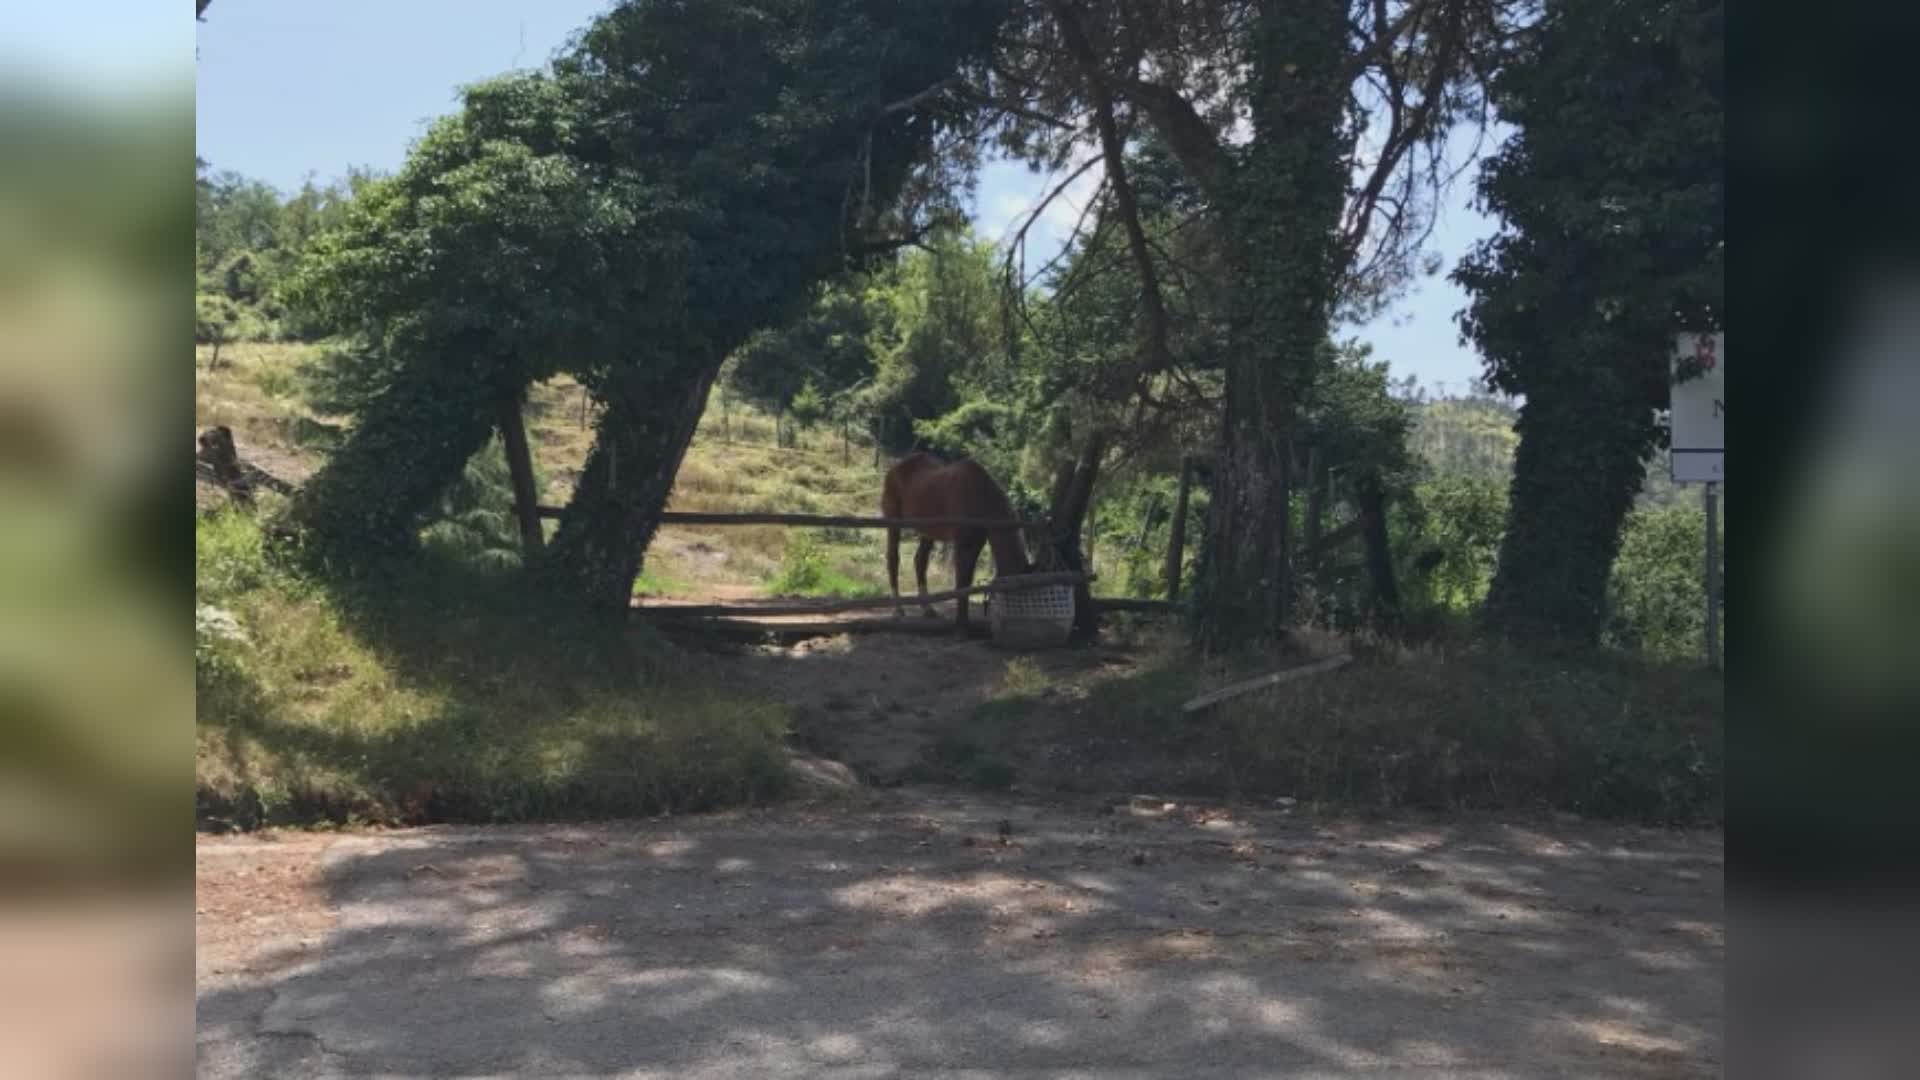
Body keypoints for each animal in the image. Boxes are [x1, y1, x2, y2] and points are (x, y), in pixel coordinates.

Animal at [881, 453, 1032, 633]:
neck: (980, 493)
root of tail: (895, 468)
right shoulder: (962, 544)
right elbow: (961, 582)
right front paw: (961, 624)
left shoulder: (976, 543)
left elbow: (966, 581)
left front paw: (963, 622)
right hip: (893, 523)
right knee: (893, 559)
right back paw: (898, 609)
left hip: (927, 531)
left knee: (920, 561)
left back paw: (928, 608)